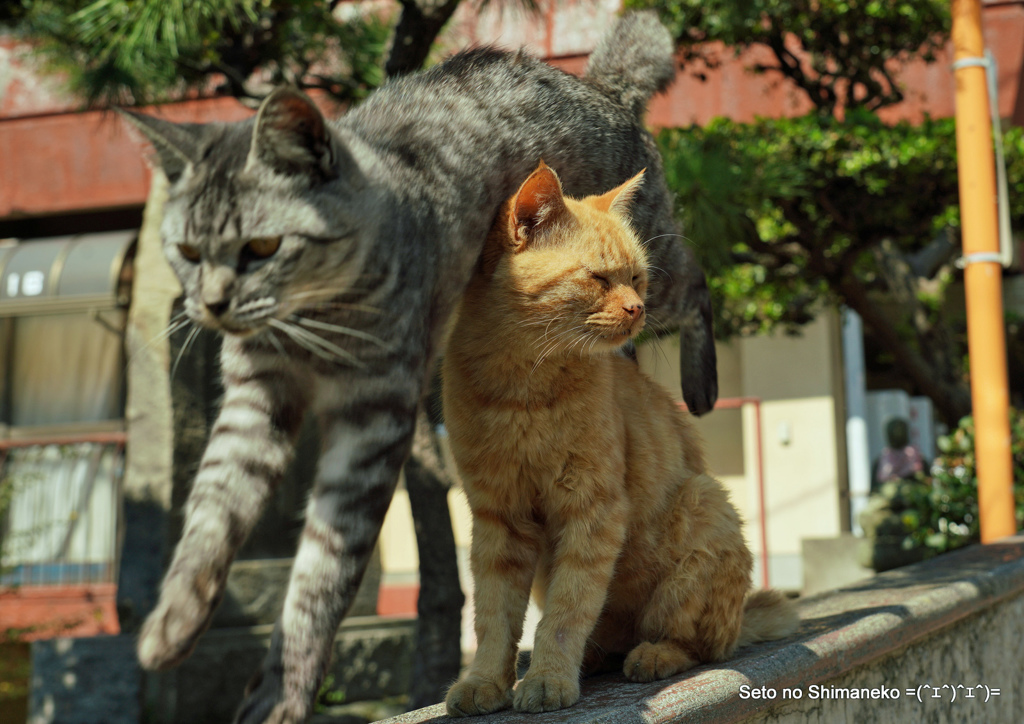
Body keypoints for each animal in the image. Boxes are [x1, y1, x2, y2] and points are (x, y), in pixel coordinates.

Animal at [123, 11, 716, 724]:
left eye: (261, 247)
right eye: (186, 251)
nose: (209, 305)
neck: (312, 322)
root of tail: (602, 86)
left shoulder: (374, 418)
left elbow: (322, 574)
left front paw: (282, 695)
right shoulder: (253, 400)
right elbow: (212, 512)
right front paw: (173, 622)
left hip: (663, 285)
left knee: (700, 287)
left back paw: (700, 386)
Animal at [444, 161, 794, 716]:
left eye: (636, 279)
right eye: (600, 278)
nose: (638, 309)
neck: (520, 389)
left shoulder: (593, 508)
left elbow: (567, 610)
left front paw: (549, 679)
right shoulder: (499, 517)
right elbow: (494, 617)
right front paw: (485, 682)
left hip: (704, 505)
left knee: (697, 644)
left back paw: (649, 655)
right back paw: (595, 657)